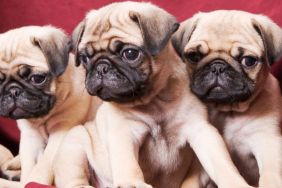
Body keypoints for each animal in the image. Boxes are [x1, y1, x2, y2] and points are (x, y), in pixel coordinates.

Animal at [0, 26, 101, 187]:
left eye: (37, 78)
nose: (13, 91)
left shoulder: (61, 133)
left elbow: (42, 167)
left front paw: (33, 181)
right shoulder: (30, 138)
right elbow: (29, 166)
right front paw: (24, 179)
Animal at [53, 1, 253, 188]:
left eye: (130, 53)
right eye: (85, 58)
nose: (101, 67)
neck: (155, 100)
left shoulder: (201, 130)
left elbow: (221, 164)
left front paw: (235, 182)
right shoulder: (125, 132)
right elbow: (127, 161)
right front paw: (131, 182)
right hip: (75, 142)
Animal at [172, 10, 282, 188]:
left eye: (248, 61)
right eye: (194, 56)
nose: (217, 66)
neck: (227, 109)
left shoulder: (267, 143)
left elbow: (269, 176)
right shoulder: (202, 164)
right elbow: (192, 181)